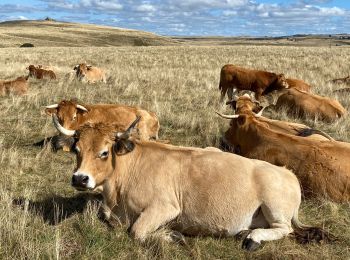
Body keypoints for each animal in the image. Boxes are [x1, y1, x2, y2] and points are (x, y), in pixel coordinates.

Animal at [52, 117, 330, 251]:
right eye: (76, 149)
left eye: (104, 152)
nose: (80, 178)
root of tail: (288, 174)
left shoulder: (166, 207)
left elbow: (137, 231)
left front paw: (172, 236)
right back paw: (246, 232)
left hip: (275, 205)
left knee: (285, 229)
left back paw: (253, 238)